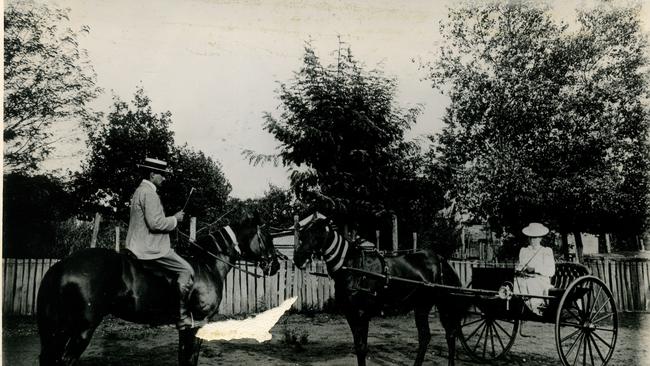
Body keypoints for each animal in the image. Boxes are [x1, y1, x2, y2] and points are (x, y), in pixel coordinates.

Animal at [36, 217, 278, 366]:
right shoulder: (197, 323)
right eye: (267, 237)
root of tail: (62, 265)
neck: (205, 264)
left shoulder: (186, 327)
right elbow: (190, 358)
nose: (275, 265)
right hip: (82, 330)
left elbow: (184, 357)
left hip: (59, 330)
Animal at [294, 214, 466, 366]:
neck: (353, 267)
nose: (298, 258)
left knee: (442, 335)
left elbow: (362, 347)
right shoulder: (350, 313)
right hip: (426, 306)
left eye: (318, 234)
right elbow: (358, 347)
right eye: (302, 234)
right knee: (435, 336)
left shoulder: (362, 313)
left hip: (432, 305)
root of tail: (440, 259)